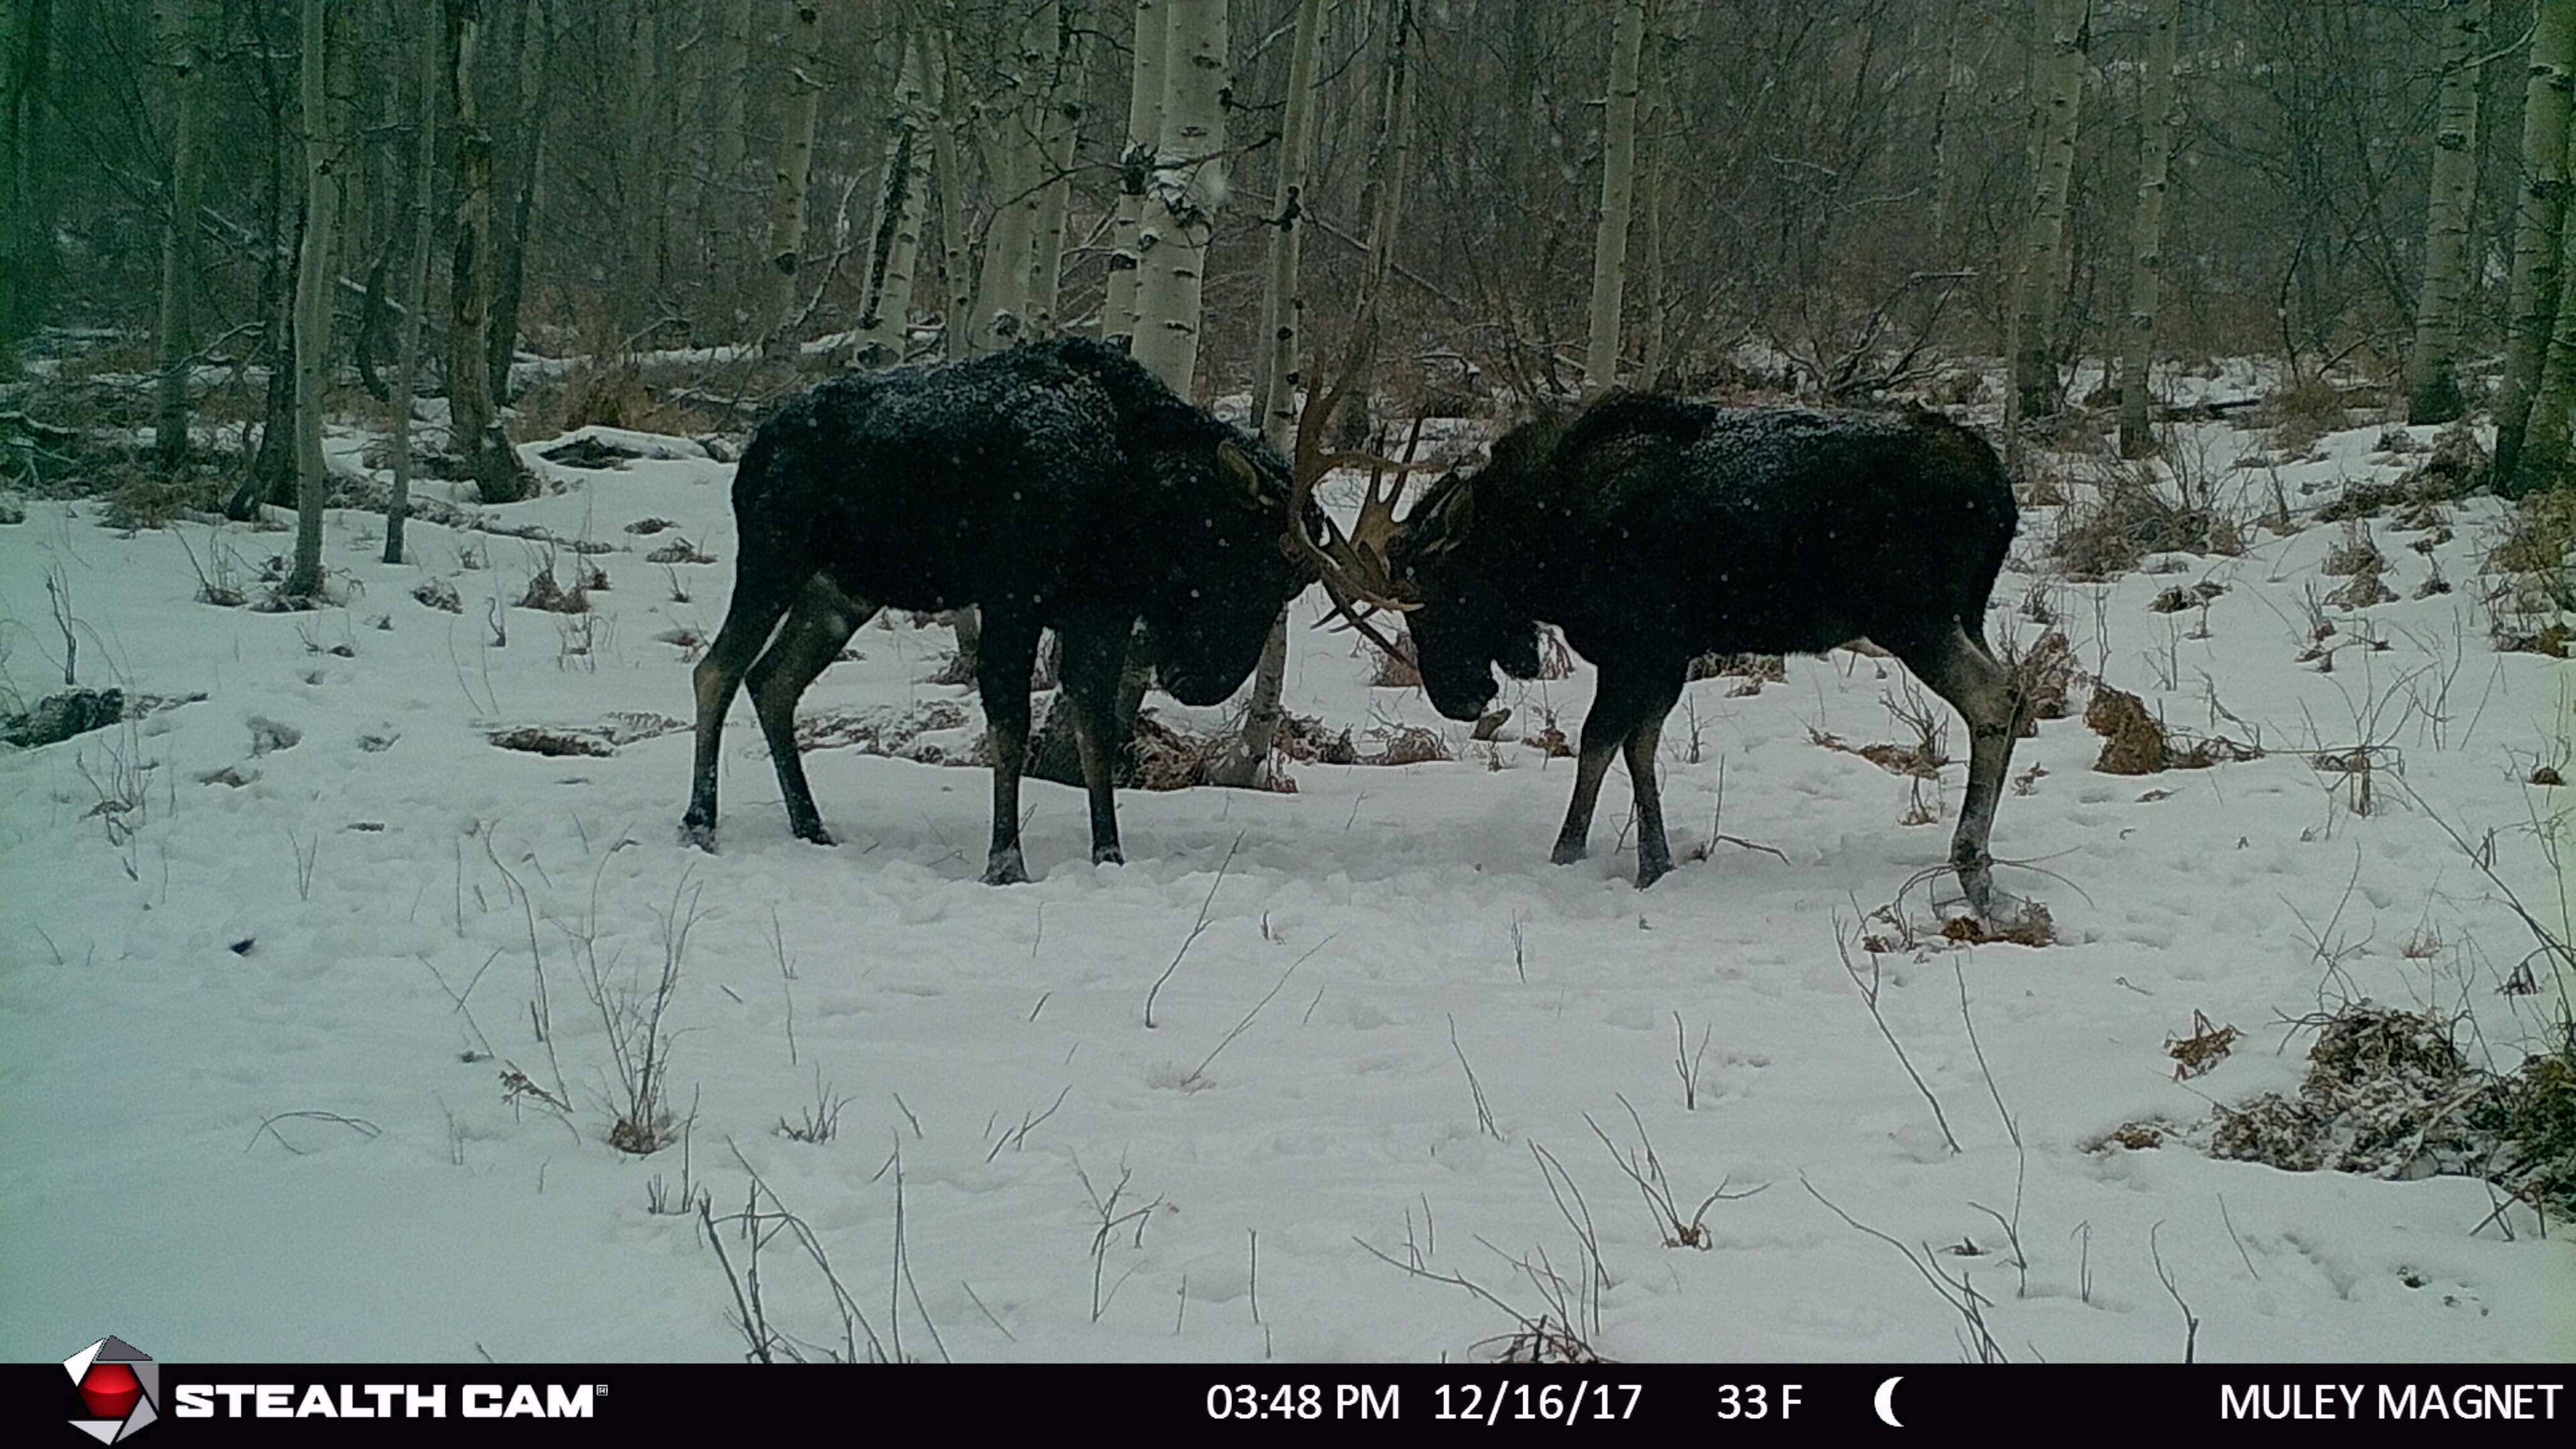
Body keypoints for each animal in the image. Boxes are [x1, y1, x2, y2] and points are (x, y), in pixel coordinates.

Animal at [685, 338, 1319, 882]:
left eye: (1293, 582)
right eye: (1254, 563)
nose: (1199, 682)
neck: (1132, 493)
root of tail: (755, 447)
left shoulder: (1099, 614)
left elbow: (1097, 730)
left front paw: (1109, 854)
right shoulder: (1014, 599)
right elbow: (1011, 726)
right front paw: (1005, 861)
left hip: (843, 593)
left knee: (773, 680)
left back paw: (811, 824)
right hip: (775, 560)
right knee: (717, 669)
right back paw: (700, 823)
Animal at [1308, 392, 2029, 913]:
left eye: (1440, 601)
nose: (1460, 700)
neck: (1543, 545)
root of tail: (2001, 490)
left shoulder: (1638, 647)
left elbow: (1599, 742)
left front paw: (1568, 853)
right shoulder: (1668, 654)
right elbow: (1639, 746)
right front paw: (1653, 863)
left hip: (1913, 616)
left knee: (1997, 698)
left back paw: (1972, 866)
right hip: (1964, 614)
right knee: (2013, 695)